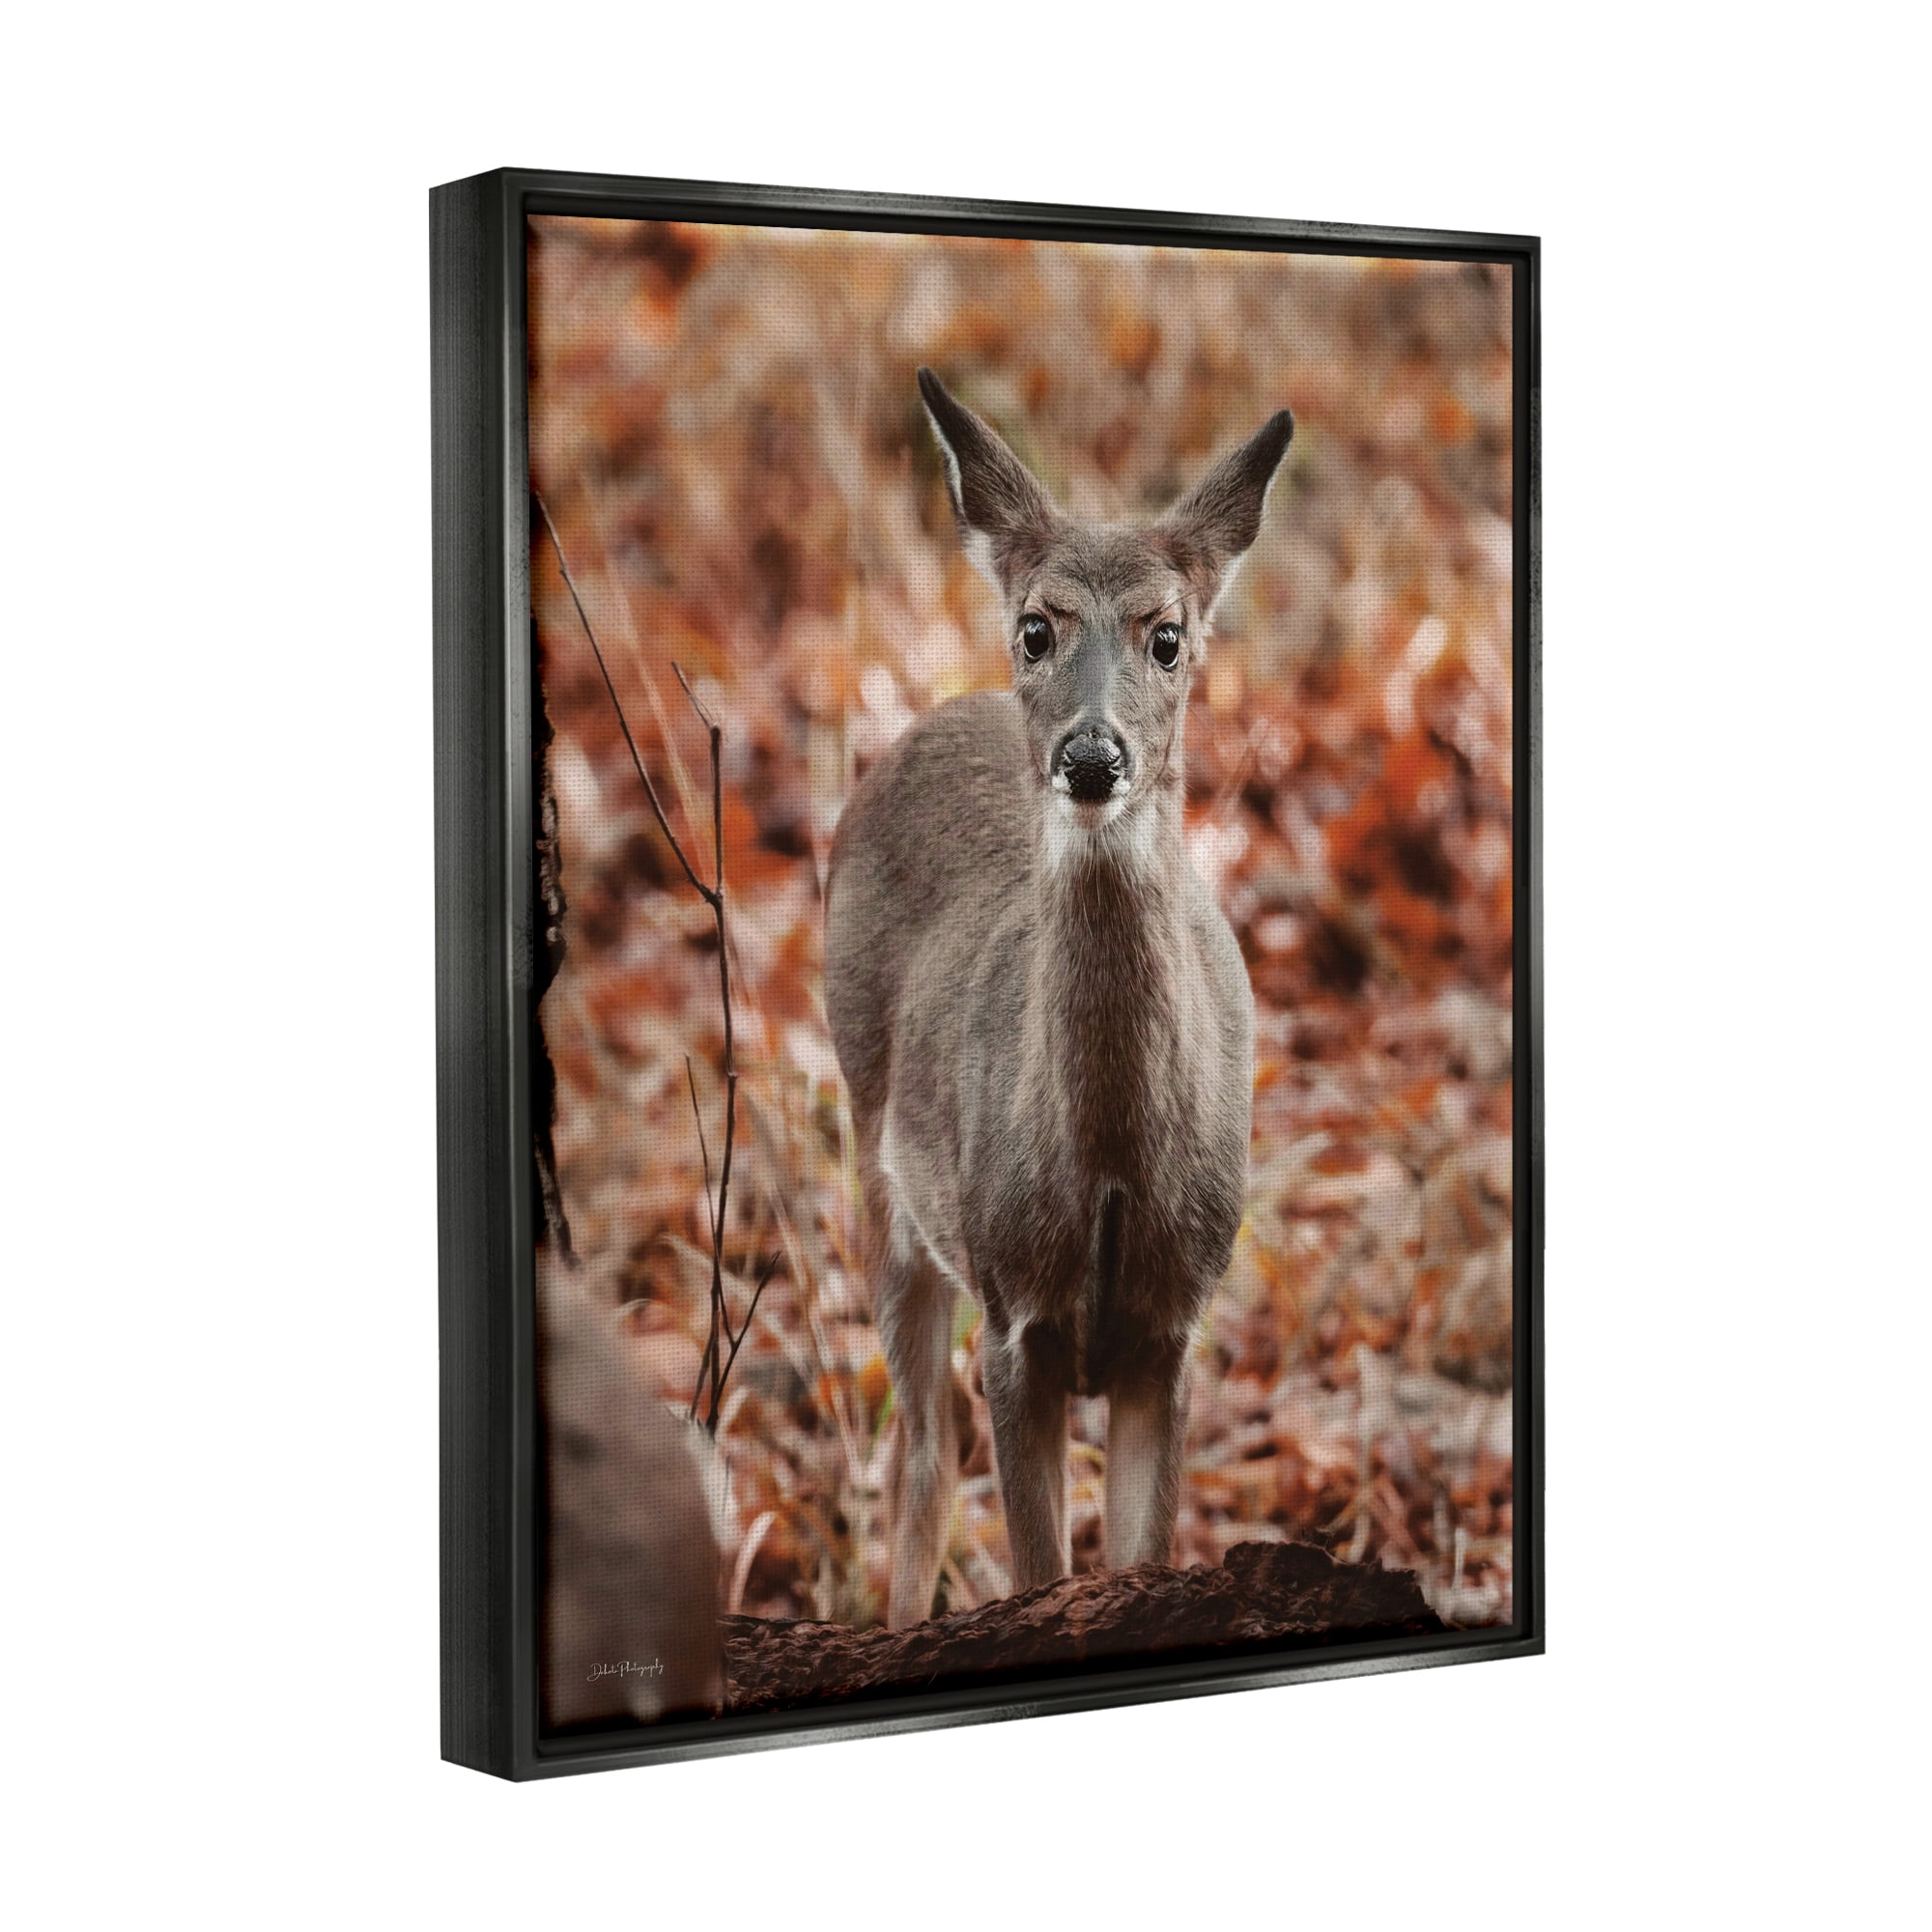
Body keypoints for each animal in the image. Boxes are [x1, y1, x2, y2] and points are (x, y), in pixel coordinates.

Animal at [825, 367, 1293, 1629]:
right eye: (1036, 628)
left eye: (1166, 636)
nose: (1091, 755)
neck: (1110, 1164)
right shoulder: (1013, 1313)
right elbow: (1040, 1568)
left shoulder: (1171, 1329)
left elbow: (1139, 1553)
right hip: (879, 1168)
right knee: (920, 1454)